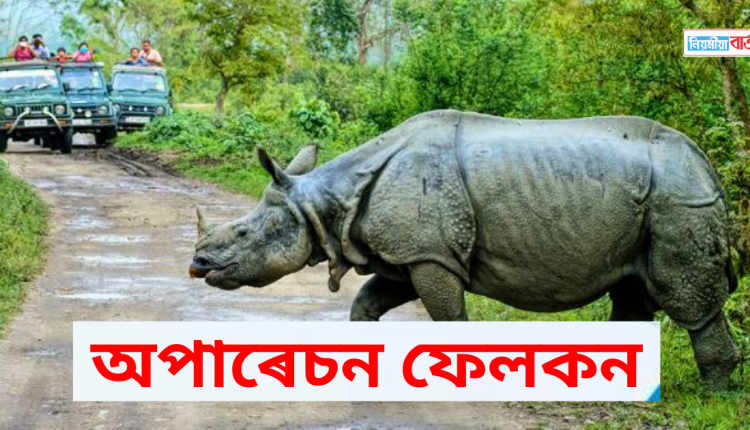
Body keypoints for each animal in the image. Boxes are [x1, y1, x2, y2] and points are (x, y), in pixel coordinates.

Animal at [190, 110, 740, 390]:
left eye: (243, 235)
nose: (197, 265)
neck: (325, 203)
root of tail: (708, 164)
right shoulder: (411, 253)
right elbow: (366, 303)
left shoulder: (430, 254)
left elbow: (449, 319)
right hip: (647, 203)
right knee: (632, 291)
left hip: (678, 198)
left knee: (688, 299)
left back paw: (714, 395)